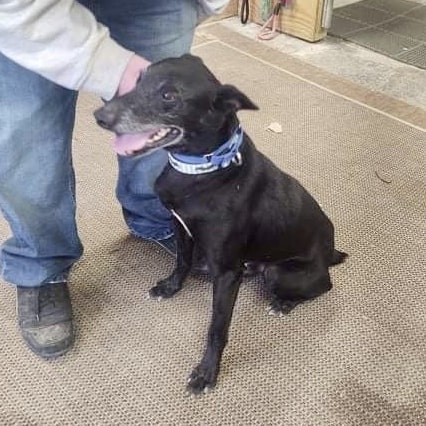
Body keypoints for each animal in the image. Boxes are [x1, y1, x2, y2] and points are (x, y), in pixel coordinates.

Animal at [93, 55, 346, 394]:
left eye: (169, 95)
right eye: (138, 79)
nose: (99, 117)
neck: (202, 170)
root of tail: (330, 252)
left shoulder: (226, 274)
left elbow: (217, 327)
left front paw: (207, 373)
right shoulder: (180, 228)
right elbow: (181, 262)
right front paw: (170, 287)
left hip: (280, 273)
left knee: (323, 286)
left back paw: (284, 304)